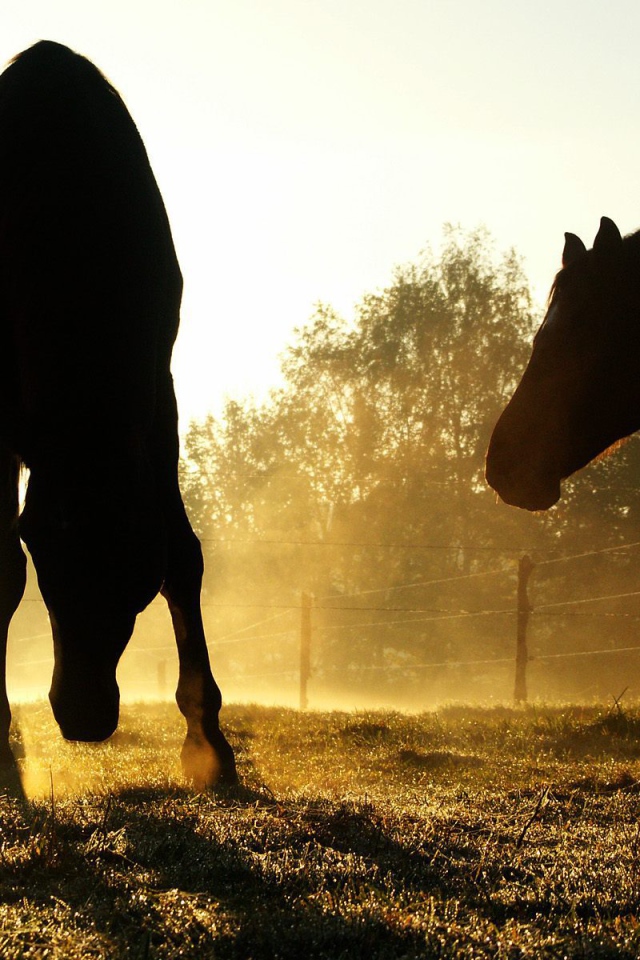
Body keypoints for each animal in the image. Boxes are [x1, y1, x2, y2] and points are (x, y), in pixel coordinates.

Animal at [0, 41, 237, 787]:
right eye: (45, 554)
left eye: (135, 573)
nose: (82, 716)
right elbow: (1, 567)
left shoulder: (159, 397)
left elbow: (186, 556)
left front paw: (207, 740)